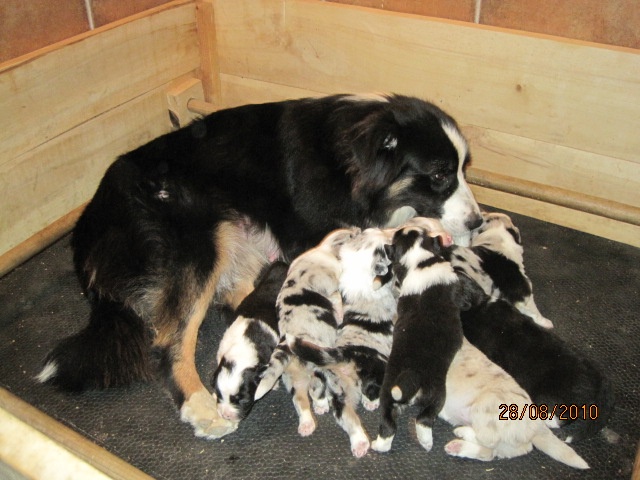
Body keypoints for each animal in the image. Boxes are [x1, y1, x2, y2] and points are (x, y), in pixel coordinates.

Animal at [370, 222, 464, 454]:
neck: (421, 258)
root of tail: (413, 377)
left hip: (395, 395)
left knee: (391, 424)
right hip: (437, 394)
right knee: (422, 419)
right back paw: (425, 441)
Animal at [440, 338, 592, 468]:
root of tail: (537, 425)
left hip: (485, 406)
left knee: (489, 440)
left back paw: (463, 432)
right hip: (506, 441)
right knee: (495, 452)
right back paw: (457, 446)